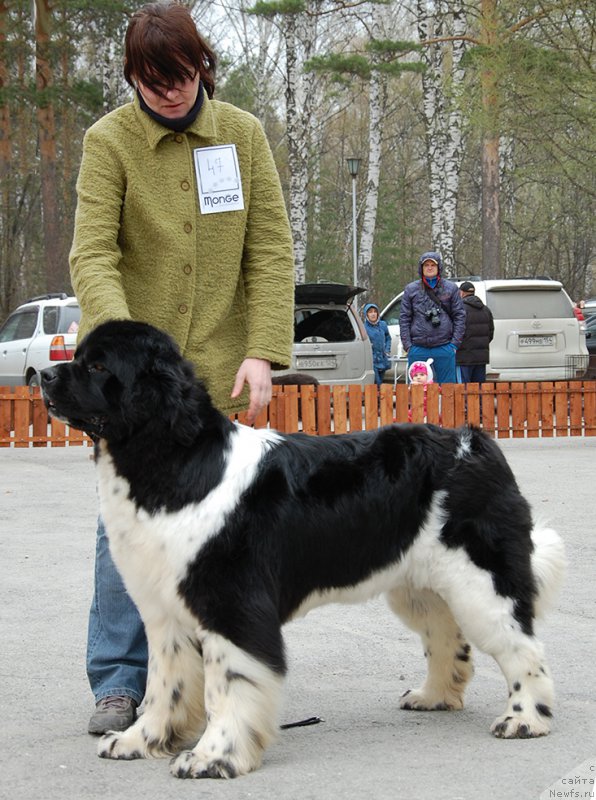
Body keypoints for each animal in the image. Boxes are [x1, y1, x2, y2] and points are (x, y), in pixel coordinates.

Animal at [40, 320, 564, 780]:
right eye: (79, 357)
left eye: (98, 366)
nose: (42, 374)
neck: (175, 459)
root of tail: (475, 441)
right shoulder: (166, 611)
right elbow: (164, 686)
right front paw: (140, 740)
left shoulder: (233, 607)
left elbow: (227, 686)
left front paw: (213, 757)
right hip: (420, 586)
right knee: (447, 637)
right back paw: (433, 696)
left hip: (481, 582)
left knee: (523, 649)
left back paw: (524, 719)